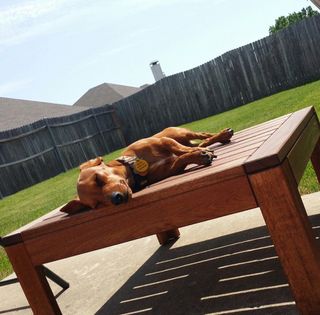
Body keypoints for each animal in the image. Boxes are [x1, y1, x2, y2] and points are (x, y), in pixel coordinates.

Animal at [60, 126, 232, 215]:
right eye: (97, 205)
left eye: (97, 178)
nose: (116, 199)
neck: (132, 168)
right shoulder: (171, 167)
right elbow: (182, 158)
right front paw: (198, 155)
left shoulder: (165, 142)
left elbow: (181, 150)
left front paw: (199, 153)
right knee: (202, 141)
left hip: (179, 133)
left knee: (202, 135)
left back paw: (222, 135)